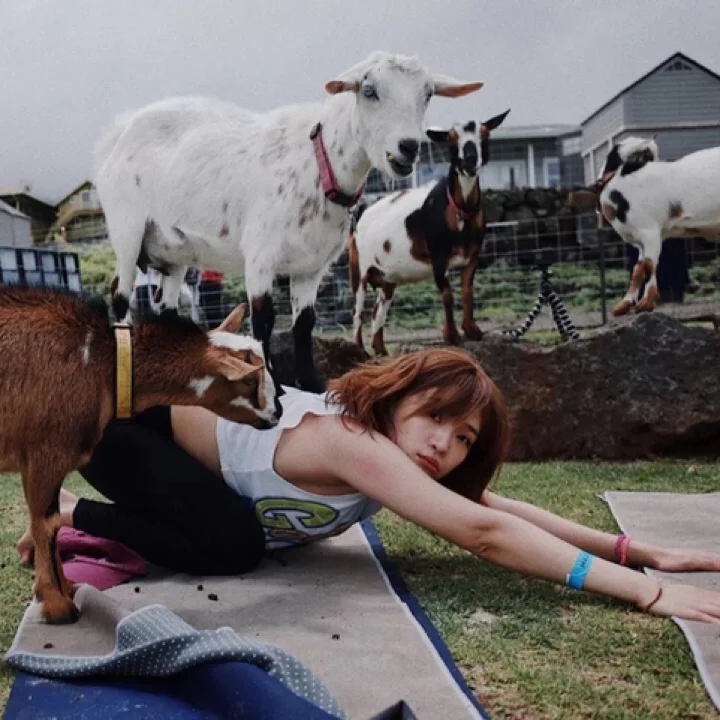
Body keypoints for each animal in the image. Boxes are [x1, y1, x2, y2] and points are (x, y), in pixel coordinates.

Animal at [0, 287, 279, 624]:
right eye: (249, 380)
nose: (276, 414)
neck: (101, 362)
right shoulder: (47, 452)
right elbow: (47, 524)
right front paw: (58, 605)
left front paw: (66, 589)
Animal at [93, 51, 483, 393]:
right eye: (369, 90)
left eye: (428, 93)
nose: (408, 148)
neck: (319, 164)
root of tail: (118, 133)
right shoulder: (260, 255)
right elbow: (264, 319)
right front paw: (274, 386)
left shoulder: (313, 266)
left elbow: (303, 323)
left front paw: (310, 382)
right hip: (127, 230)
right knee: (120, 298)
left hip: (174, 251)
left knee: (166, 307)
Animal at [348, 109, 510, 355]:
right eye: (451, 140)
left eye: (485, 135)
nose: (469, 162)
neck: (459, 210)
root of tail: (361, 215)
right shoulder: (438, 258)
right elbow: (447, 294)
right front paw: (451, 335)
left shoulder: (472, 256)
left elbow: (467, 290)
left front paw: (472, 330)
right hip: (359, 269)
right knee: (358, 312)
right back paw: (359, 350)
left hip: (387, 278)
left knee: (378, 311)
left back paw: (381, 350)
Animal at [570, 136, 720, 315]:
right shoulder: (642, 240)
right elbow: (638, 268)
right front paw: (621, 308)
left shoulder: (650, 231)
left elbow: (648, 266)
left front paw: (644, 305)